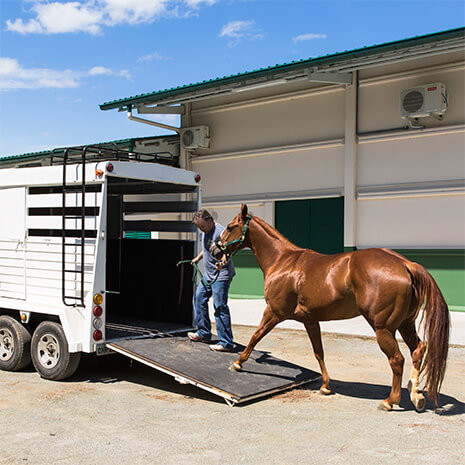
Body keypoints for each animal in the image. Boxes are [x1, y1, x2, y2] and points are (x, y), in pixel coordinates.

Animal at [211, 204, 450, 410]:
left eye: (230, 227)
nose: (214, 251)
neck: (283, 262)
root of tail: (405, 264)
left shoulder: (274, 312)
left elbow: (255, 336)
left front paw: (237, 363)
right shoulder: (310, 320)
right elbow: (319, 352)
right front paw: (325, 386)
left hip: (383, 328)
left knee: (397, 359)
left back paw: (390, 401)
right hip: (405, 324)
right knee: (418, 349)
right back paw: (416, 394)